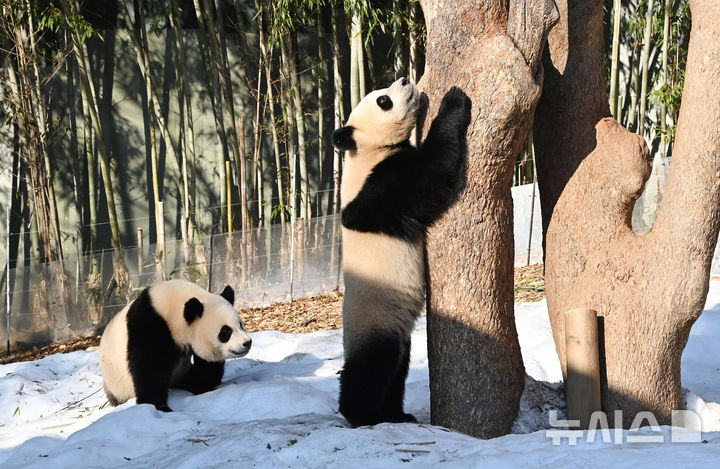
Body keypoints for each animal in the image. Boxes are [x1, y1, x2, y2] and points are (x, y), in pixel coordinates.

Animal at [334, 77, 472, 424]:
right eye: (383, 101)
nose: (406, 80)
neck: (367, 150)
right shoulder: (380, 188)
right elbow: (431, 175)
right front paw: (453, 101)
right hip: (374, 320)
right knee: (370, 371)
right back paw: (361, 415)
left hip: (396, 329)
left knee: (397, 371)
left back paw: (397, 415)